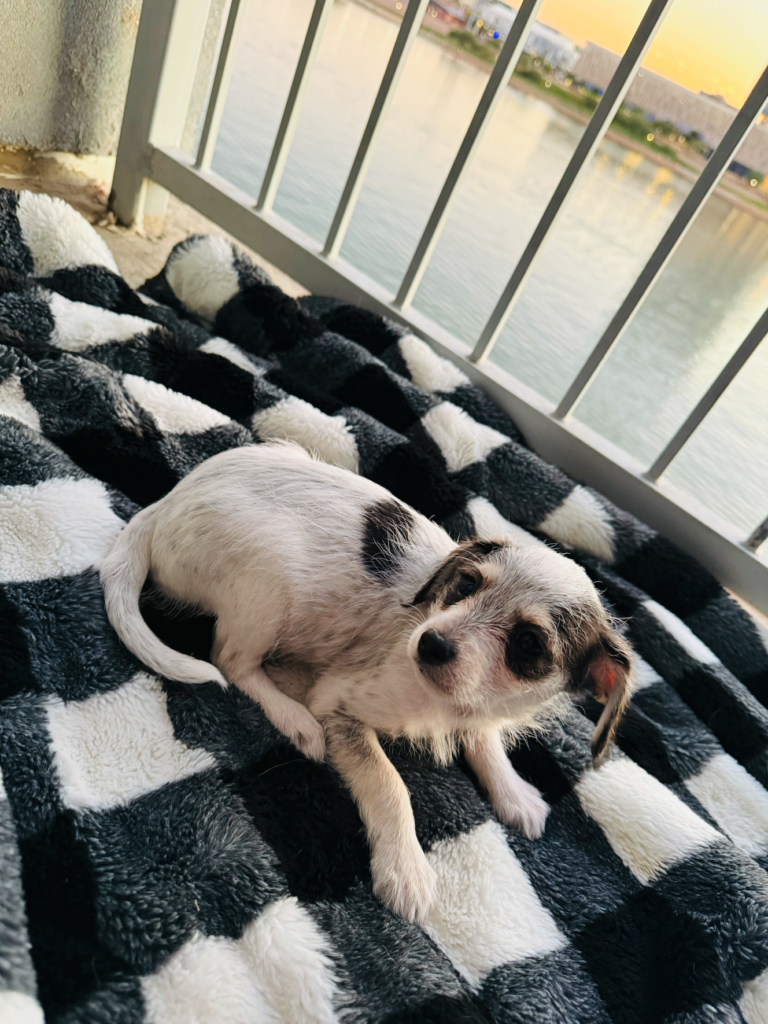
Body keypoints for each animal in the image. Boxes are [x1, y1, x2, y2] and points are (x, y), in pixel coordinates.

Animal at [100, 444, 630, 925]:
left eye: (528, 645)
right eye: (466, 586)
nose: (431, 644)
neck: (454, 701)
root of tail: (164, 506)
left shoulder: (479, 710)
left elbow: (484, 739)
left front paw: (514, 791)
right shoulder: (339, 704)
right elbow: (388, 782)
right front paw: (406, 869)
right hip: (272, 577)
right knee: (229, 661)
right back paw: (294, 718)